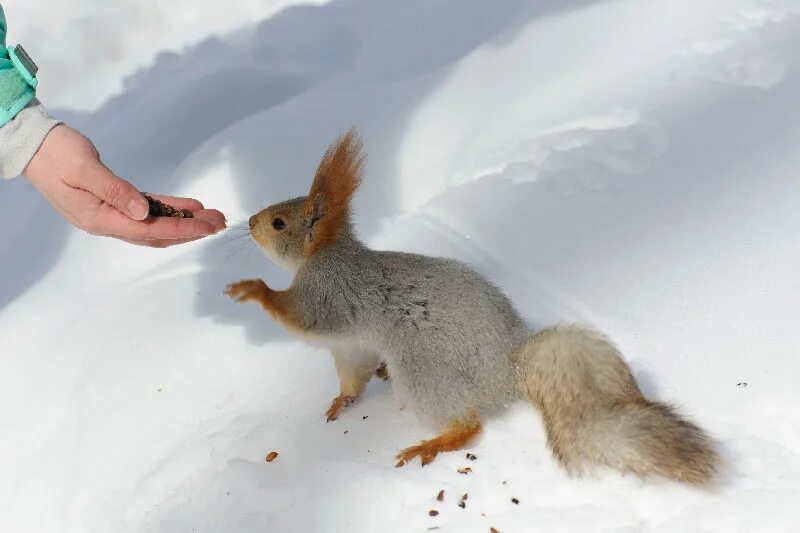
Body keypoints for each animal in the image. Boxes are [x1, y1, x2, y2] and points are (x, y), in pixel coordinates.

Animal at [225, 128, 720, 482]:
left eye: (278, 222)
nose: (248, 221)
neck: (328, 255)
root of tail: (508, 366)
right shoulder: (351, 344)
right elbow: (353, 372)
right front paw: (341, 402)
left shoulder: (327, 293)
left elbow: (300, 316)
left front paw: (254, 290)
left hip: (421, 369)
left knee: (469, 425)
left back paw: (432, 443)